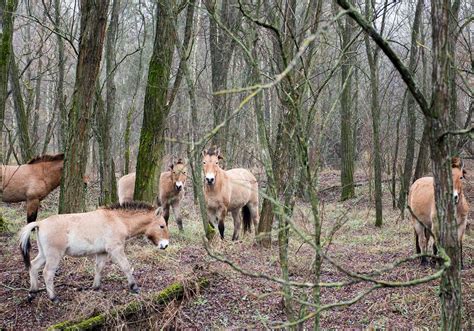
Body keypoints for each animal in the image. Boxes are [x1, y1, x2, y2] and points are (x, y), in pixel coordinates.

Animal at [19, 201, 169, 304]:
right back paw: (53, 297)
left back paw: (33, 292)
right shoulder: (116, 250)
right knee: (47, 273)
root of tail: (40, 223)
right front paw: (134, 287)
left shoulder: (102, 253)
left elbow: (99, 268)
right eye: (162, 226)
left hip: (44, 254)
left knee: (33, 266)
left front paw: (95, 287)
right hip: (54, 256)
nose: (165, 245)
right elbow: (126, 267)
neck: (118, 220)